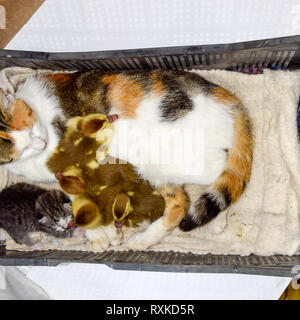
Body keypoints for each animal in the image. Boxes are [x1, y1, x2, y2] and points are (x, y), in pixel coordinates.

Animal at [0, 70, 253, 240]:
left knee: (223, 169)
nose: (41, 144)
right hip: (155, 169)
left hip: (183, 160)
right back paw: (142, 241)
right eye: (17, 149)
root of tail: (227, 98)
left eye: (31, 127)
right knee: (181, 202)